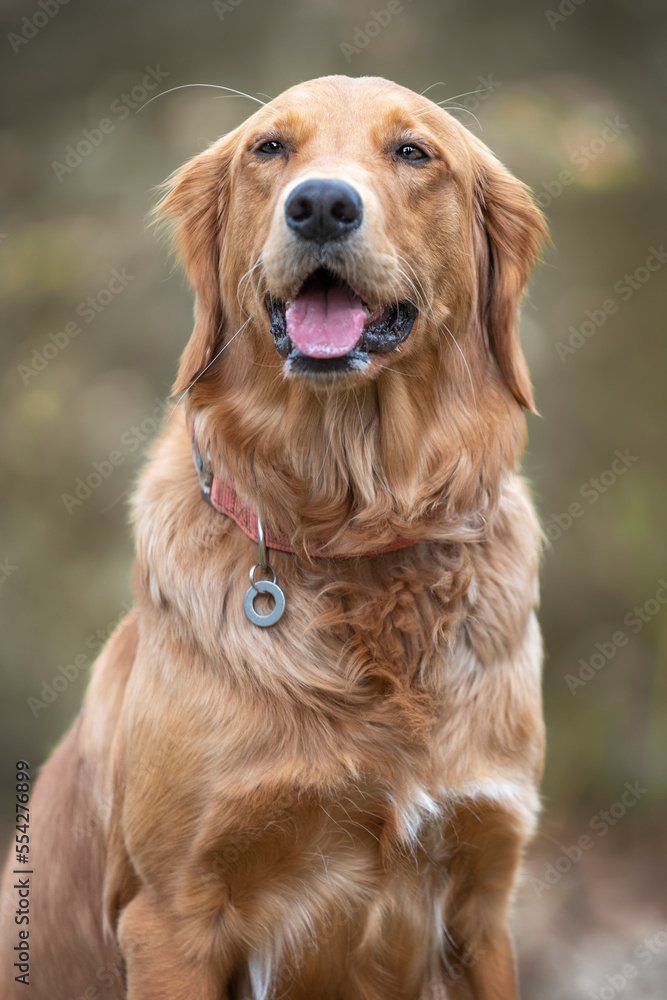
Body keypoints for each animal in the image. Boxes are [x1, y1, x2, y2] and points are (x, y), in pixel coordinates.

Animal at [0, 74, 548, 996]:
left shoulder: (482, 898)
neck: (357, 533)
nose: (320, 204)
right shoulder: (172, 915)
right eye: (270, 149)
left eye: (413, 152)